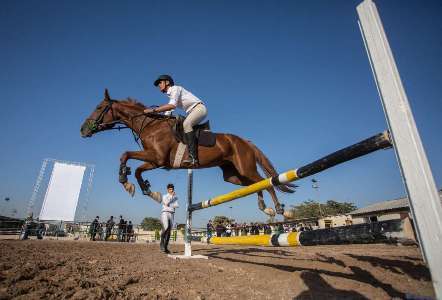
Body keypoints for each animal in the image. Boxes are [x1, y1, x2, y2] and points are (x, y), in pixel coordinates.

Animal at [81, 88, 296, 217]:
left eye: (99, 107)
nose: (83, 130)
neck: (150, 126)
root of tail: (245, 141)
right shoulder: (156, 161)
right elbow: (137, 169)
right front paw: (148, 191)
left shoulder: (157, 158)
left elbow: (125, 155)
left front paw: (125, 182)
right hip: (233, 175)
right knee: (255, 184)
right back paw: (265, 208)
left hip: (245, 167)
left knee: (267, 182)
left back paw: (280, 209)